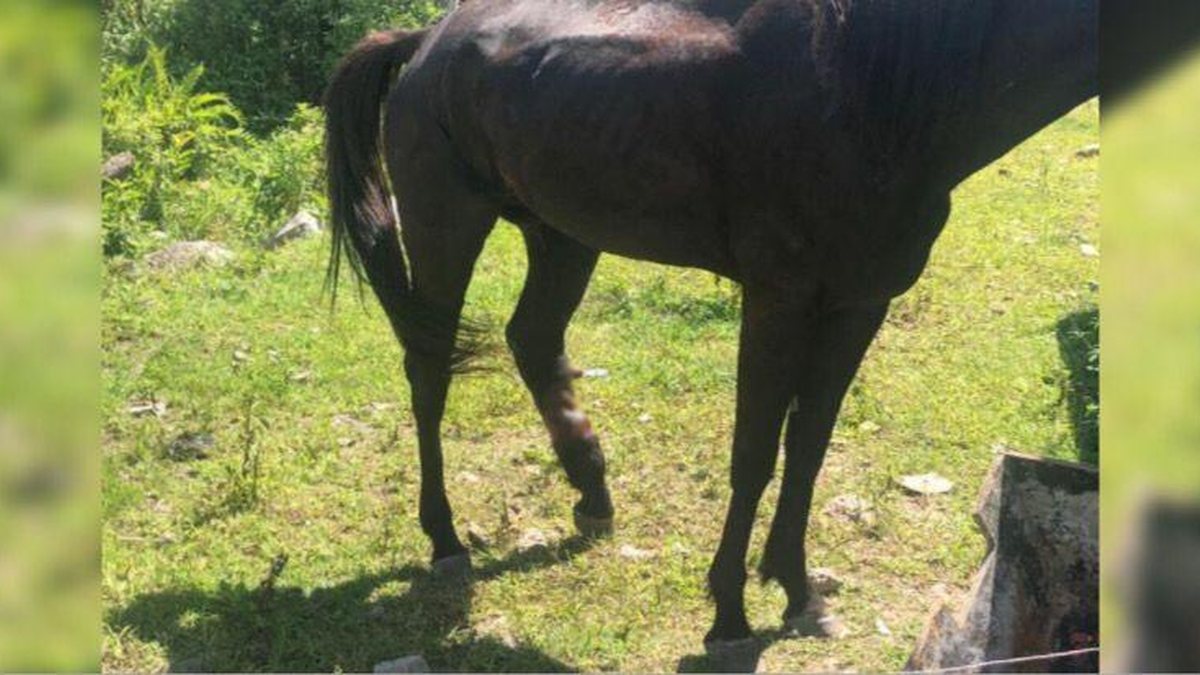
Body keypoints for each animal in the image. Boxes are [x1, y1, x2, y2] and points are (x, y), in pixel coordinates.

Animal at [321, 0, 1099, 662]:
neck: (873, 95)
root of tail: (425, 42)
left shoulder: (858, 304)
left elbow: (808, 448)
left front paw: (798, 592)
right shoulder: (779, 299)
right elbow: (753, 455)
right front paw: (730, 614)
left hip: (561, 234)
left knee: (533, 340)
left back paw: (593, 495)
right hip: (446, 224)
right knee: (429, 366)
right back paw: (445, 537)